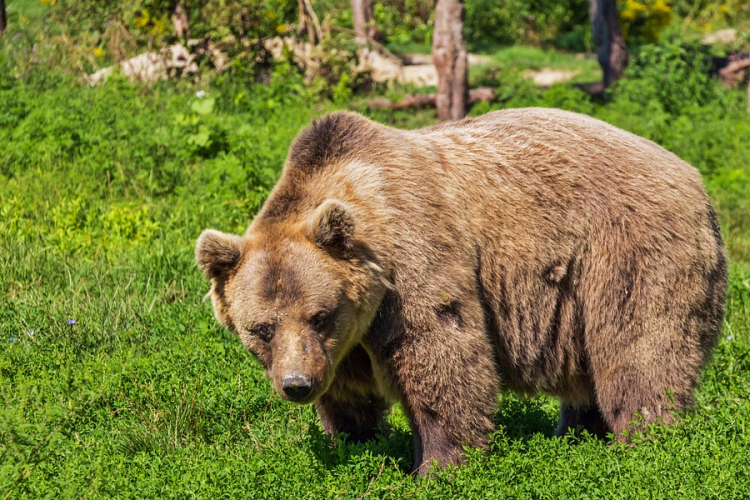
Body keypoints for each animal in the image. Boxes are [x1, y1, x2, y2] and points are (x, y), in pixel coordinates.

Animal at [194, 107, 728, 474]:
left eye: (319, 314)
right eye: (261, 328)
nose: (296, 385)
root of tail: (695, 178)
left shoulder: (413, 261)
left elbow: (442, 355)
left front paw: (437, 465)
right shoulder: (344, 341)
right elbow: (349, 393)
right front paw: (354, 442)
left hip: (627, 253)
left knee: (640, 351)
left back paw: (646, 441)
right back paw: (576, 434)